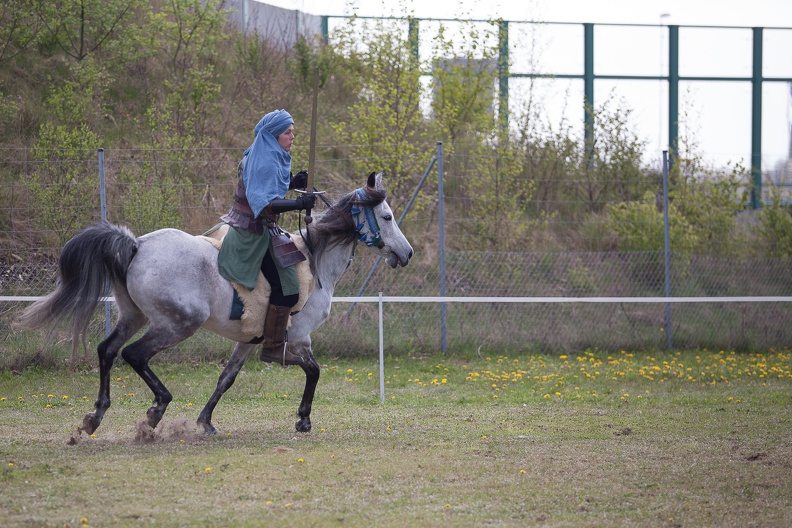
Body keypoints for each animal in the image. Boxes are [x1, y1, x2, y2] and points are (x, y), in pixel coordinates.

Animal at [17, 173, 414, 438]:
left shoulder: (249, 341)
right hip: (177, 324)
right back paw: (156, 408)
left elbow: (227, 377)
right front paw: (303, 418)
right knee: (134, 355)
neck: (314, 261)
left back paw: (95, 416)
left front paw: (205, 421)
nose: (407, 253)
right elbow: (314, 371)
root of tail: (137, 245)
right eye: (387, 217)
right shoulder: (299, 338)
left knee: (107, 350)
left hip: (134, 316)